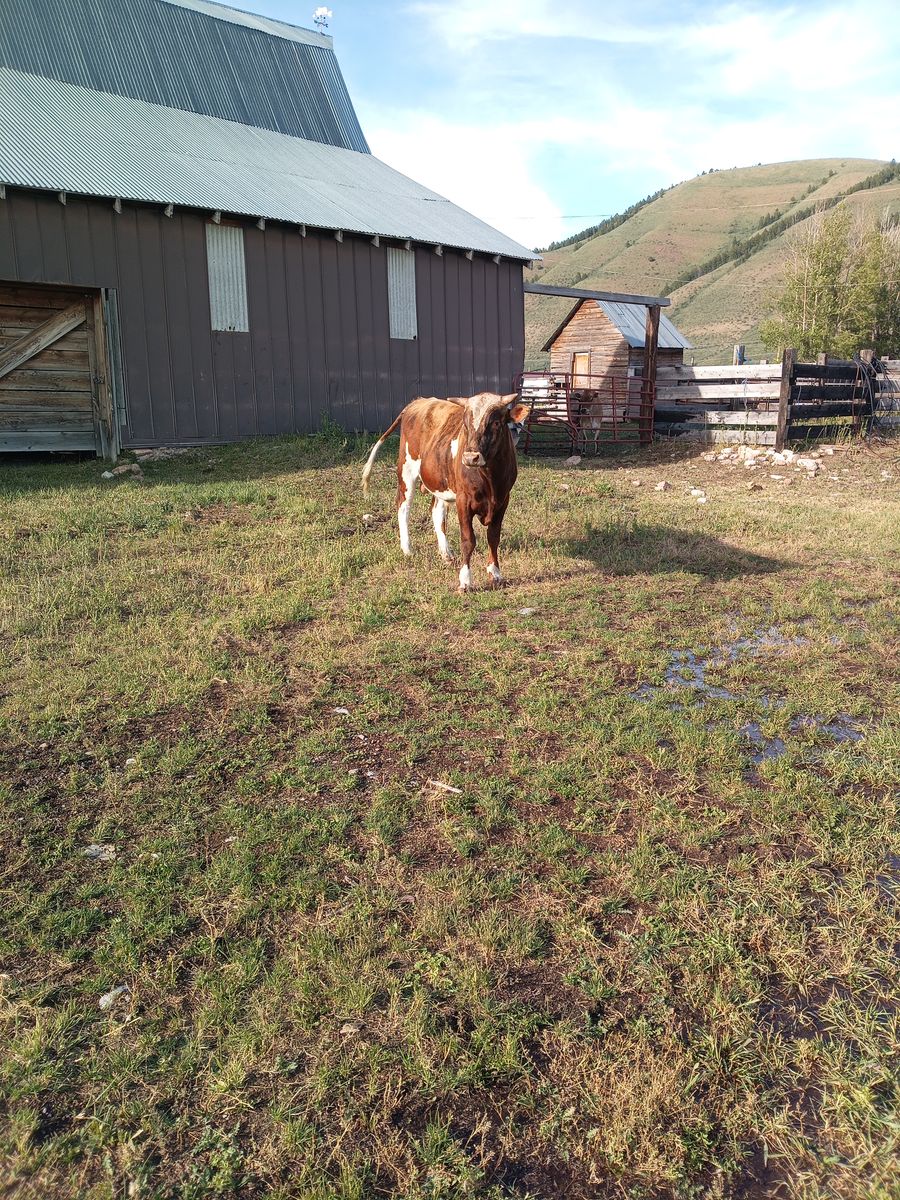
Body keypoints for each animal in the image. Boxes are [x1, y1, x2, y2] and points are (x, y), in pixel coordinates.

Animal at [361, 392, 529, 591]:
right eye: (465, 424)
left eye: (496, 422)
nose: (470, 457)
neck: (490, 480)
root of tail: (418, 402)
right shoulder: (463, 500)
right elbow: (468, 540)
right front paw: (465, 581)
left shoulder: (503, 500)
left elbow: (493, 537)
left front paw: (495, 574)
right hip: (406, 470)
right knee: (403, 508)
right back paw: (407, 549)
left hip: (441, 482)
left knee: (436, 512)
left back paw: (446, 553)